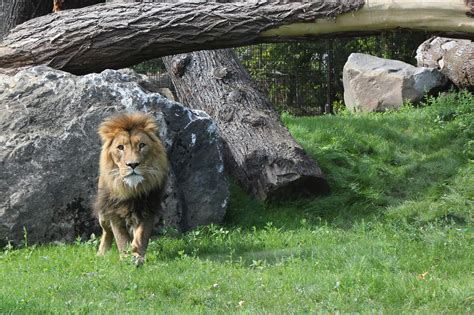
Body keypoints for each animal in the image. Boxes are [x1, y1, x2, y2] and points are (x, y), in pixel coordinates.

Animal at [92, 113, 168, 266]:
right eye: (120, 147)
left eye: (142, 145)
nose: (132, 164)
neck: (131, 189)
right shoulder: (113, 212)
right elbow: (121, 239)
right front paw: (125, 258)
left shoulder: (148, 209)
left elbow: (140, 237)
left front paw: (137, 257)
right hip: (103, 215)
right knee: (106, 232)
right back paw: (101, 253)